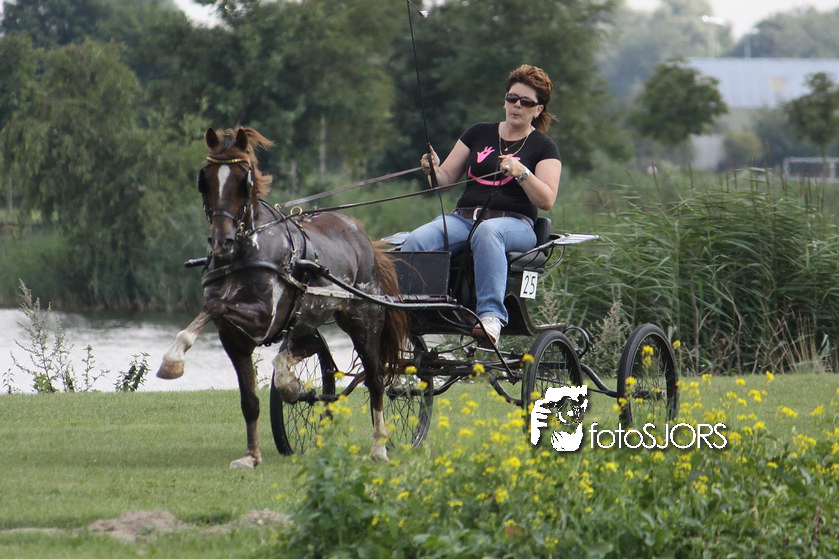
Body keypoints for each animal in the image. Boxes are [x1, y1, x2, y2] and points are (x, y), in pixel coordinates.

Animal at [157, 126, 408, 468]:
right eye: (204, 179)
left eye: (243, 180)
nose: (221, 241)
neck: (246, 252)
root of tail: (359, 232)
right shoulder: (234, 339)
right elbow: (249, 400)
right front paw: (251, 456)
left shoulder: (263, 318)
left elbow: (214, 306)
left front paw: (172, 360)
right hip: (306, 318)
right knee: (310, 347)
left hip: (363, 321)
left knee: (376, 378)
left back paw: (379, 447)